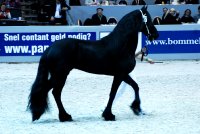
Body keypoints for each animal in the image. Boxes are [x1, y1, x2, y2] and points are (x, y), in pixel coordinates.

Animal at [28, 6, 159, 121]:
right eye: (148, 19)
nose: (156, 35)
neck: (121, 44)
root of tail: (50, 48)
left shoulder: (123, 74)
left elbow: (135, 86)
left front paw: (136, 108)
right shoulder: (119, 75)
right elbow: (113, 93)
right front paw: (109, 115)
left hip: (61, 76)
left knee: (55, 93)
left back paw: (64, 116)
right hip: (59, 75)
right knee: (48, 91)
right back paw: (43, 114)